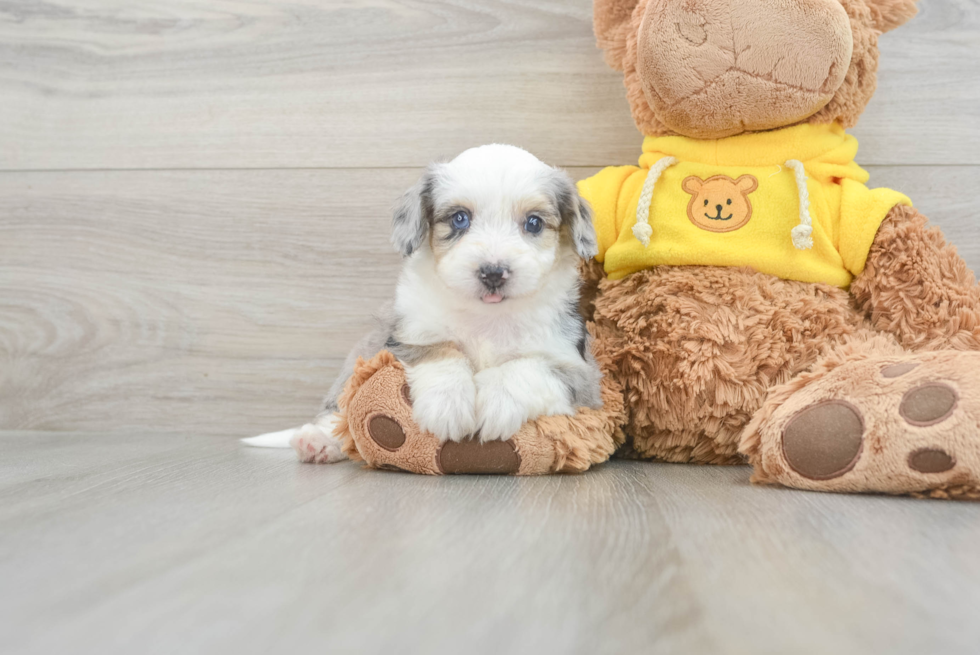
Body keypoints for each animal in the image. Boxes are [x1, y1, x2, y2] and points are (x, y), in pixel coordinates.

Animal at [241, 144, 600, 462]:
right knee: (340, 411)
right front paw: (447, 405)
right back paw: (318, 441)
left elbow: (527, 368)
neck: (487, 318)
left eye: (534, 223)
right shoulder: (404, 337)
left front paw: (497, 401)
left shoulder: (580, 374)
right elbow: (440, 350)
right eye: (459, 219)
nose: (493, 273)